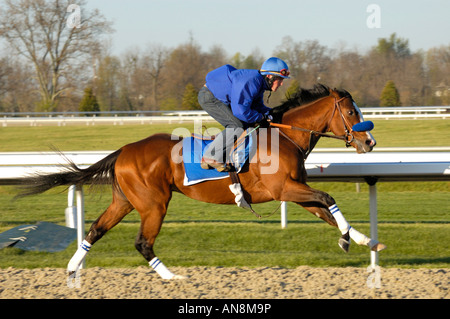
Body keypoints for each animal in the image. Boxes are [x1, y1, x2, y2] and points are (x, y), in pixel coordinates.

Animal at [15, 84, 384, 280]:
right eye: (351, 112)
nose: (370, 143)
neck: (284, 137)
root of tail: (124, 150)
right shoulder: (284, 189)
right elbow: (327, 197)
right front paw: (351, 239)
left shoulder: (293, 192)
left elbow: (325, 209)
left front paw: (363, 240)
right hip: (154, 203)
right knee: (143, 242)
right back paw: (172, 278)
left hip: (125, 200)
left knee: (96, 229)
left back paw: (72, 269)